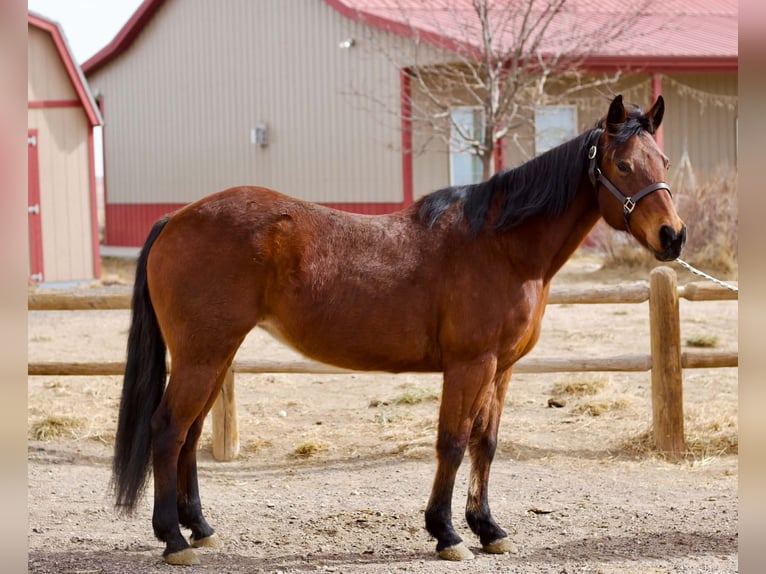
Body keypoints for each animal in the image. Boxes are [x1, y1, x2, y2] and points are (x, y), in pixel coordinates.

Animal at [112, 94, 685, 565]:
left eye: (663, 162)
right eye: (623, 164)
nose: (673, 236)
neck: (501, 245)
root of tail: (175, 219)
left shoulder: (501, 369)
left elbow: (486, 443)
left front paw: (488, 529)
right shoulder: (470, 364)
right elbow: (452, 442)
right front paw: (447, 533)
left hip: (216, 355)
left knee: (188, 435)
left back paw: (201, 528)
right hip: (203, 354)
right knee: (168, 429)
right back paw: (173, 539)